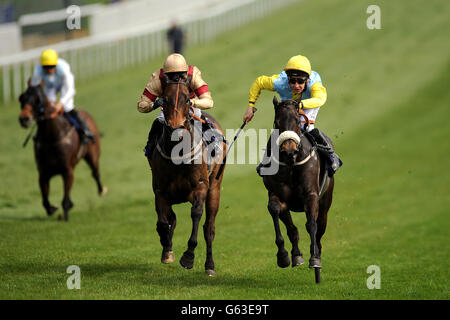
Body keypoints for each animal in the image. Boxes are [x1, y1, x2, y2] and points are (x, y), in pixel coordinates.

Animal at [18, 82, 107, 221]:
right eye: (21, 98)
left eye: (38, 100)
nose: (24, 119)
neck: (51, 138)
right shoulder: (43, 174)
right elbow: (45, 201)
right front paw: (53, 208)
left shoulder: (67, 171)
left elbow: (65, 200)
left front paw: (65, 215)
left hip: (93, 155)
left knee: (95, 173)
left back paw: (101, 190)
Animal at [147, 74, 227, 276]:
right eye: (165, 99)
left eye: (186, 99)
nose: (176, 129)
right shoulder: (160, 191)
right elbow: (163, 222)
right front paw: (167, 250)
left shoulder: (200, 187)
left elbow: (196, 214)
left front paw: (188, 257)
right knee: (171, 219)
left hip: (214, 188)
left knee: (209, 228)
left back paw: (209, 266)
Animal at [260, 95, 334, 282]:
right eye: (277, 121)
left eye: (296, 120)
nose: (289, 152)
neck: (291, 165)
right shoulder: (278, 195)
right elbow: (275, 210)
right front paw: (283, 256)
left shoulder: (311, 195)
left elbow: (311, 225)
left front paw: (314, 260)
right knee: (292, 228)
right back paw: (296, 255)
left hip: (325, 203)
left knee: (319, 231)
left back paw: (317, 260)